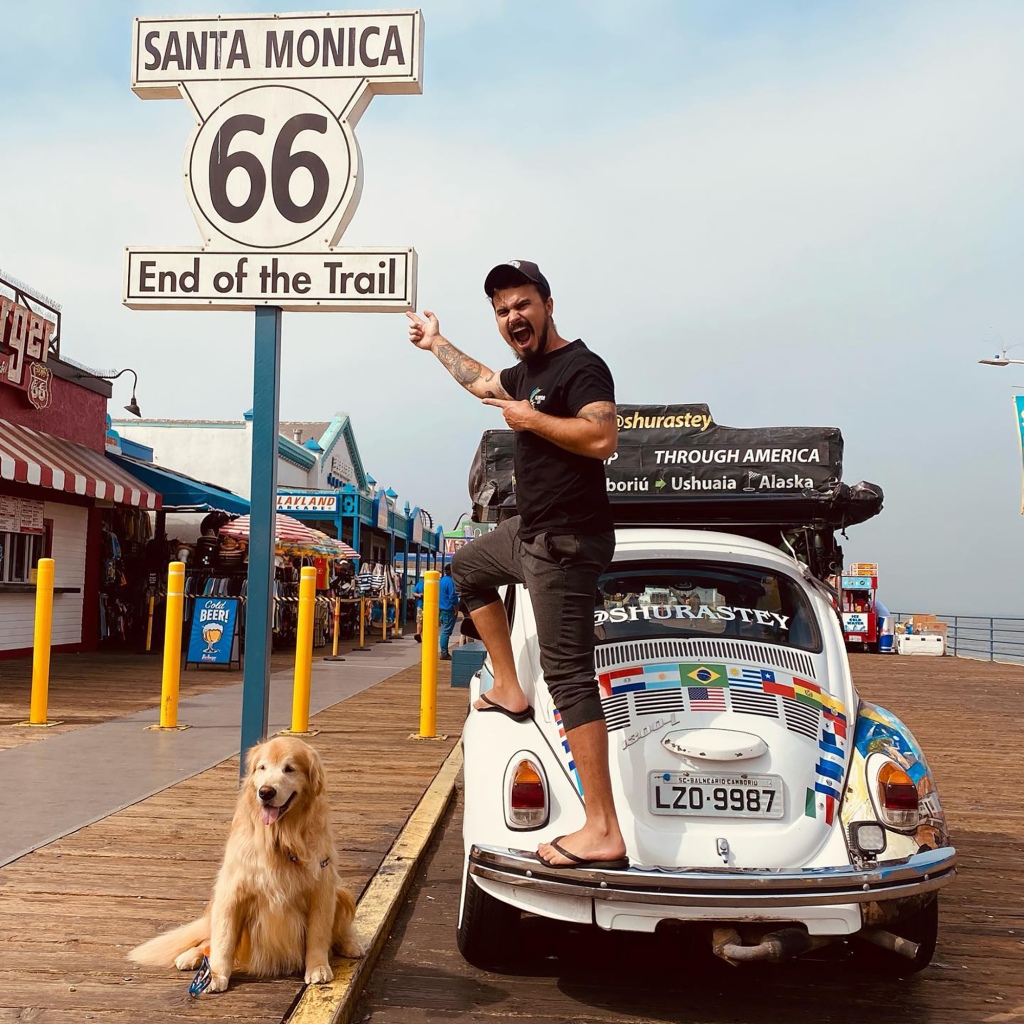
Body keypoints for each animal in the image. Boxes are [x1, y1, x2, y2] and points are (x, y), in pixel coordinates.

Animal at [128, 737, 362, 991]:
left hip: (342, 893)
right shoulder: (232, 891)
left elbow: (318, 934)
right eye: (262, 767)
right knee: (208, 941)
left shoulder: (322, 888)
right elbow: (223, 940)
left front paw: (318, 967)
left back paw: (351, 944)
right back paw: (191, 956)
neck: (280, 838)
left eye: (289, 769)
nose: (266, 792)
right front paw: (216, 974)